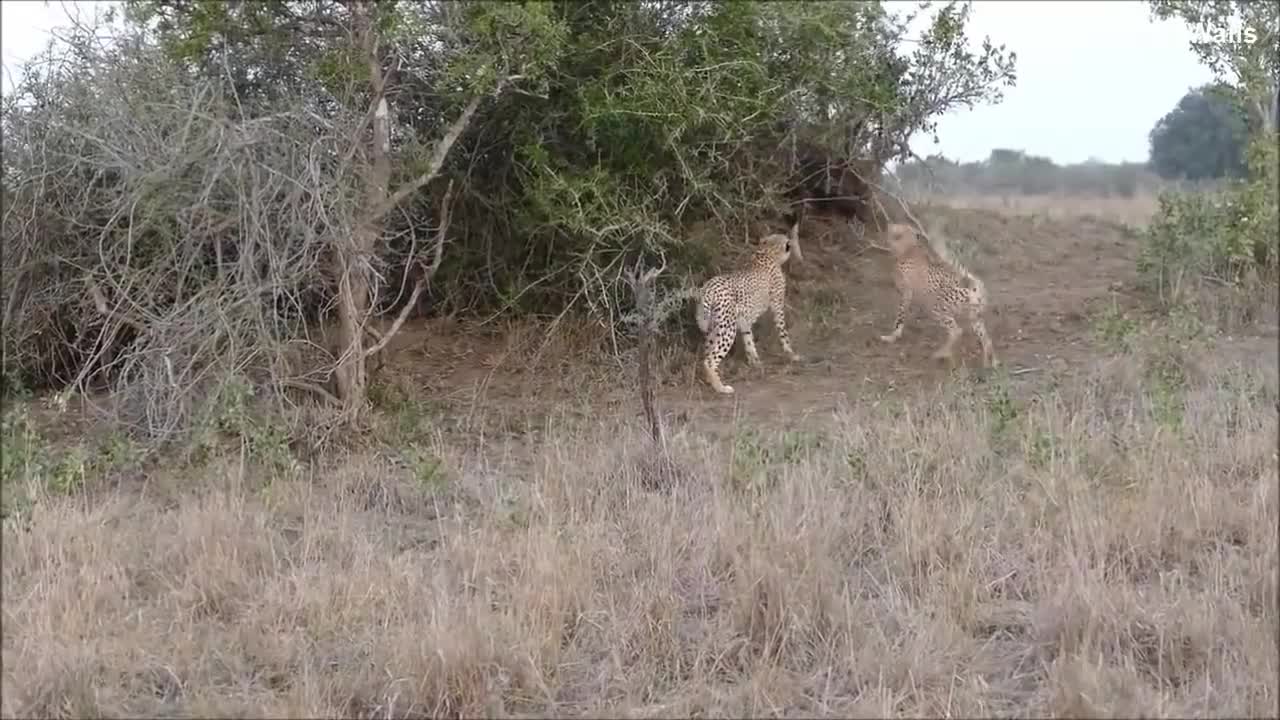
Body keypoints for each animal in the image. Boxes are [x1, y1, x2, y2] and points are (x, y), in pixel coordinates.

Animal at [696, 222, 803, 392]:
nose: (791, 246)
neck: (767, 251)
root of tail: (709, 287)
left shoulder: (744, 319)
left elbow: (748, 340)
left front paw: (756, 362)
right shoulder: (777, 307)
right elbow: (783, 333)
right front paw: (791, 354)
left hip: (713, 327)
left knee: (706, 354)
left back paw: (710, 380)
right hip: (727, 329)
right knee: (710, 360)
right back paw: (721, 388)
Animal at [880, 219, 998, 366]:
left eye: (898, 235)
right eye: (893, 234)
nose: (889, 242)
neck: (910, 248)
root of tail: (974, 284)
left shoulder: (906, 294)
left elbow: (899, 317)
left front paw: (892, 336)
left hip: (937, 308)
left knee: (957, 331)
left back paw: (941, 354)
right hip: (975, 316)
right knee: (987, 339)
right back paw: (990, 363)